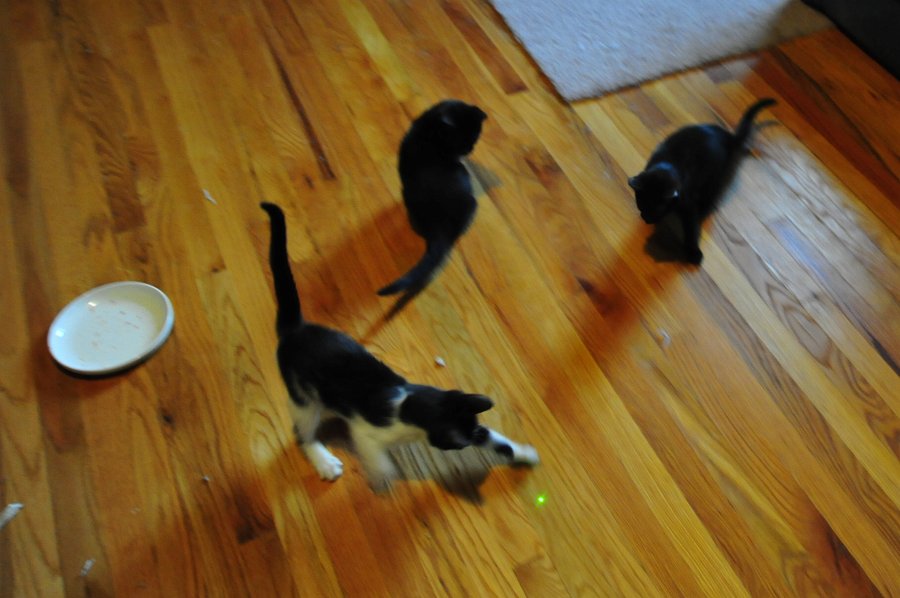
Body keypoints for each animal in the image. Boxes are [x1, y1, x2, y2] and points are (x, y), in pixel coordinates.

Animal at [261, 202, 538, 490]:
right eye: (458, 445)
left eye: (477, 431)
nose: (473, 438)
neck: (407, 406)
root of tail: (296, 328)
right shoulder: (365, 431)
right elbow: (372, 451)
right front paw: (382, 474)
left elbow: (499, 441)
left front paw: (523, 453)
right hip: (301, 395)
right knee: (302, 430)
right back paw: (323, 460)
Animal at [377, 100, 487, 299]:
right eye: (462, 141)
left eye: (475, 138)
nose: (469, 150)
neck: (428, 128)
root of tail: (437, 228)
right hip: (471, 202)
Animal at [628, 98, 776, 264]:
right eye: (641, 205)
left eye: (657, 208)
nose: (646, 219)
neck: (666, 164)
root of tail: (728, 137)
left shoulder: (688, 205)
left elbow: (691, 228)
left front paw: (693, 252)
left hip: (714, 178)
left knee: (710, 197)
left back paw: (703, 210)